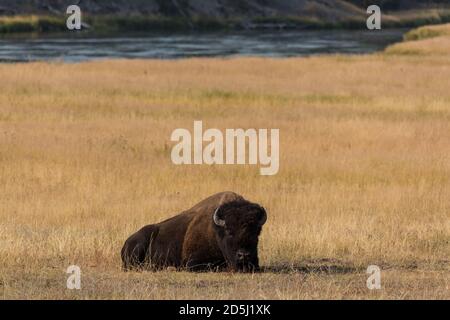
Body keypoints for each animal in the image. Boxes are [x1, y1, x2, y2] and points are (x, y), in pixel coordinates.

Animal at [120, 191, 268, 272]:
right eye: (229, 231)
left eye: (256, 232)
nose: (244, 255)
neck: (216, 231)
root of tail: (127, 242)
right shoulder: (193, 263)